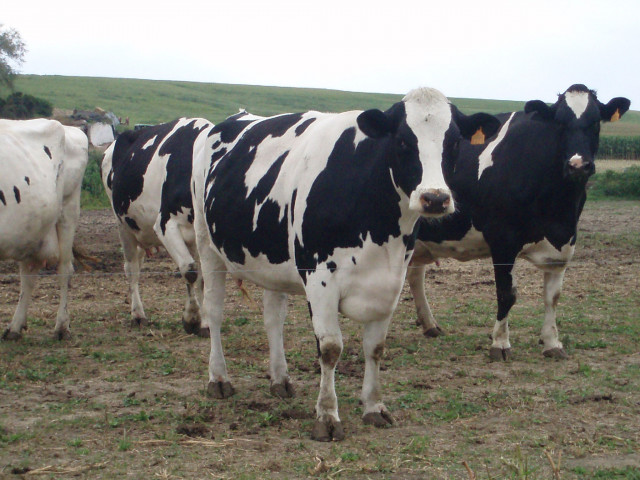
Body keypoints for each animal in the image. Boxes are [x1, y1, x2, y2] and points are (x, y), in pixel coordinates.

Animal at [1, 119, 88, 340]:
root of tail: (70, 128)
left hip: (68, 209)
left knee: (64, 269)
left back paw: (61, 327)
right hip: (30, 229)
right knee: (28, 275)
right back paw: (15, 327)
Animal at [101, 117, 214, 336]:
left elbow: (203, 277)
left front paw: (204, 322)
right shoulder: (165, 225)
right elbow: (190, 271)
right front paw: (191, 319)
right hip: (123, 225)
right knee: (131, 269)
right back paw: (137, 315)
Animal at [191, 88, 500, 441]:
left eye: (455, 142)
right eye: (402, 141)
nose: (435, 198)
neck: (379, 230)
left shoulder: (390, 282)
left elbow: (376, 347)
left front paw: (374, 407)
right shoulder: (319, 278)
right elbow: (330, 349)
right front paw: (327, 416)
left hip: (272, 260)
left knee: (273, 320)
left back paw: (280, 380)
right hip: (207, 244)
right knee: (215, 311)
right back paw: (219, 379)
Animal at [407, 84, 631, 361]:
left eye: (596, 122)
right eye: (560, 123)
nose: (578, 165)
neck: (559, 209)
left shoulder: (563, 244)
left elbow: (552, 297)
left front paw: (552, 343)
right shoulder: (503, 239)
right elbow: (506, 294)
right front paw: (500, 343)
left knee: (415, 275)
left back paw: (430, 325)